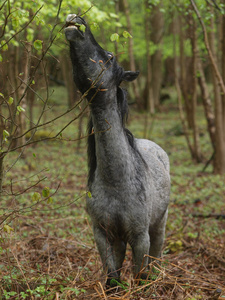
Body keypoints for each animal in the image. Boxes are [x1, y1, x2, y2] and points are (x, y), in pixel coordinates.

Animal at [64, 14, 170, 288]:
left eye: (110, 56)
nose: (76, 20)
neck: (116, 181)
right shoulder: (101, 233)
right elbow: (112, 274)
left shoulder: (140, 236)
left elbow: (140, 273)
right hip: (119, 236)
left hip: (159, 224)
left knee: (157, 253)